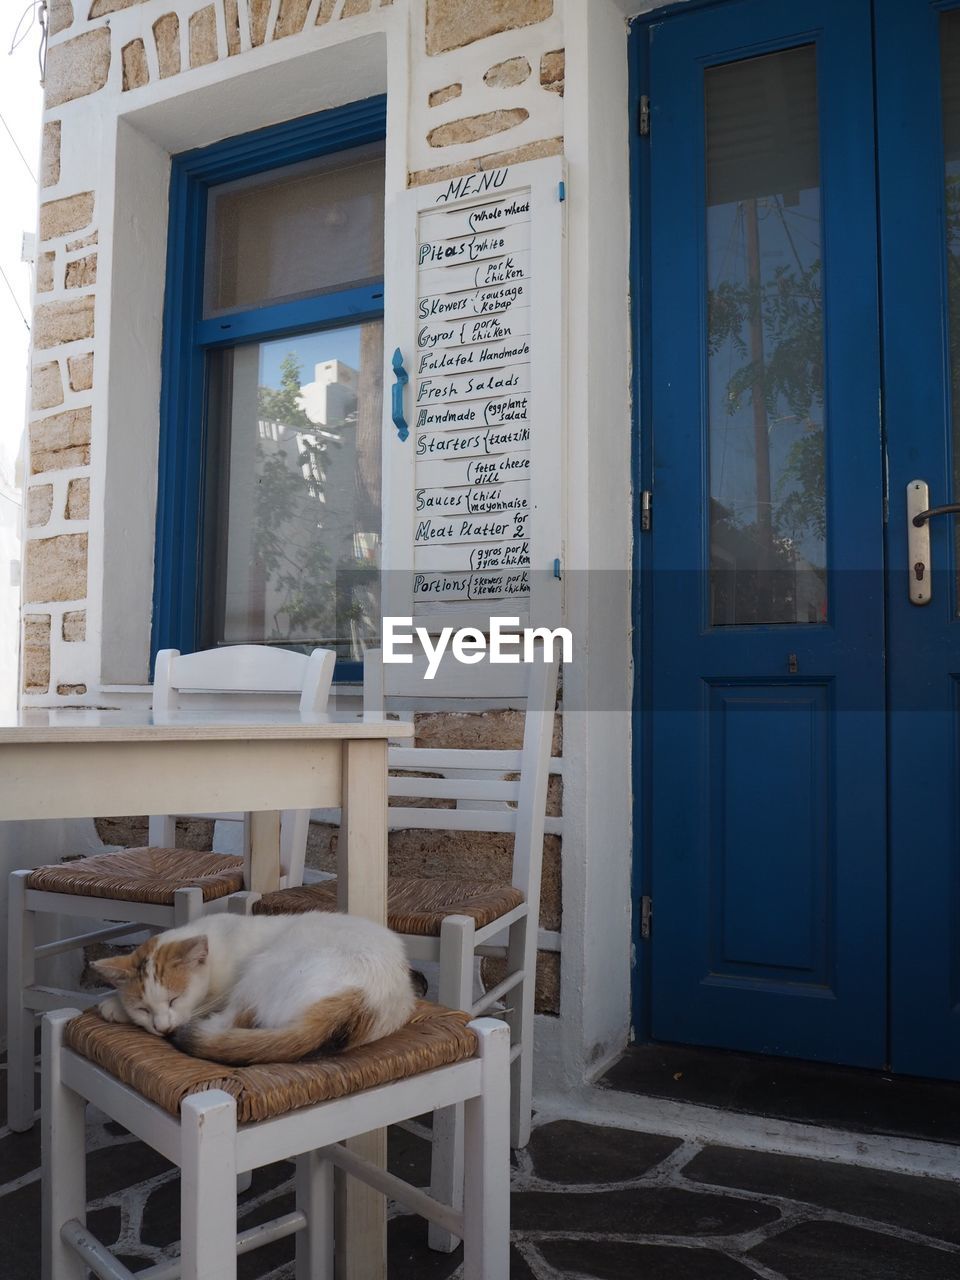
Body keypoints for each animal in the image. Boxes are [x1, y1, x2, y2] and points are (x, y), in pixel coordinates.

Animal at [90, 911, 417, 1070]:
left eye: (175, 999)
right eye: (143, 1008)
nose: (162, 1028)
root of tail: (364, 994)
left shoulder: (220, 994)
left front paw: (113, 1006)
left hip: (265, 966)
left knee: (229, 1022)